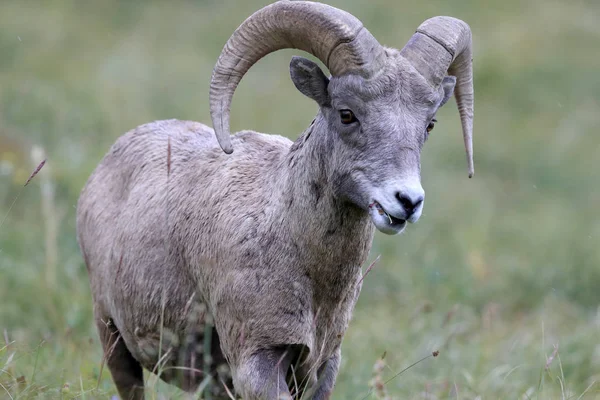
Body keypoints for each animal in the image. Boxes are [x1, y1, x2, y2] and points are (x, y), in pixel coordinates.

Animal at [77, 1, 476, 398]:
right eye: (347, 114)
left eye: (428, 124)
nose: (407, 201)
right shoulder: (258, 363)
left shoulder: (323, 368)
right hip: (113, 339)